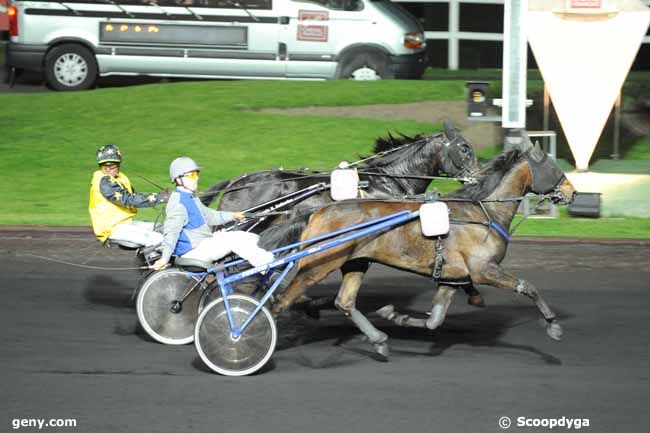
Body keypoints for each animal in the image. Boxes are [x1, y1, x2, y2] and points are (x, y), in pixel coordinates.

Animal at [270, 145, 576, 358]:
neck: (483, 213)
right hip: (317, 265)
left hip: (356, 262)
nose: (572, 192)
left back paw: (378, 339)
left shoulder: (452, 278)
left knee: (344, 302)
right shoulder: (484, 270)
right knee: (281, 301)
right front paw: (553, 325)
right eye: (553, 167)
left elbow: (434, 320)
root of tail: (317, 211)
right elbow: (528, 287)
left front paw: (395, 316)